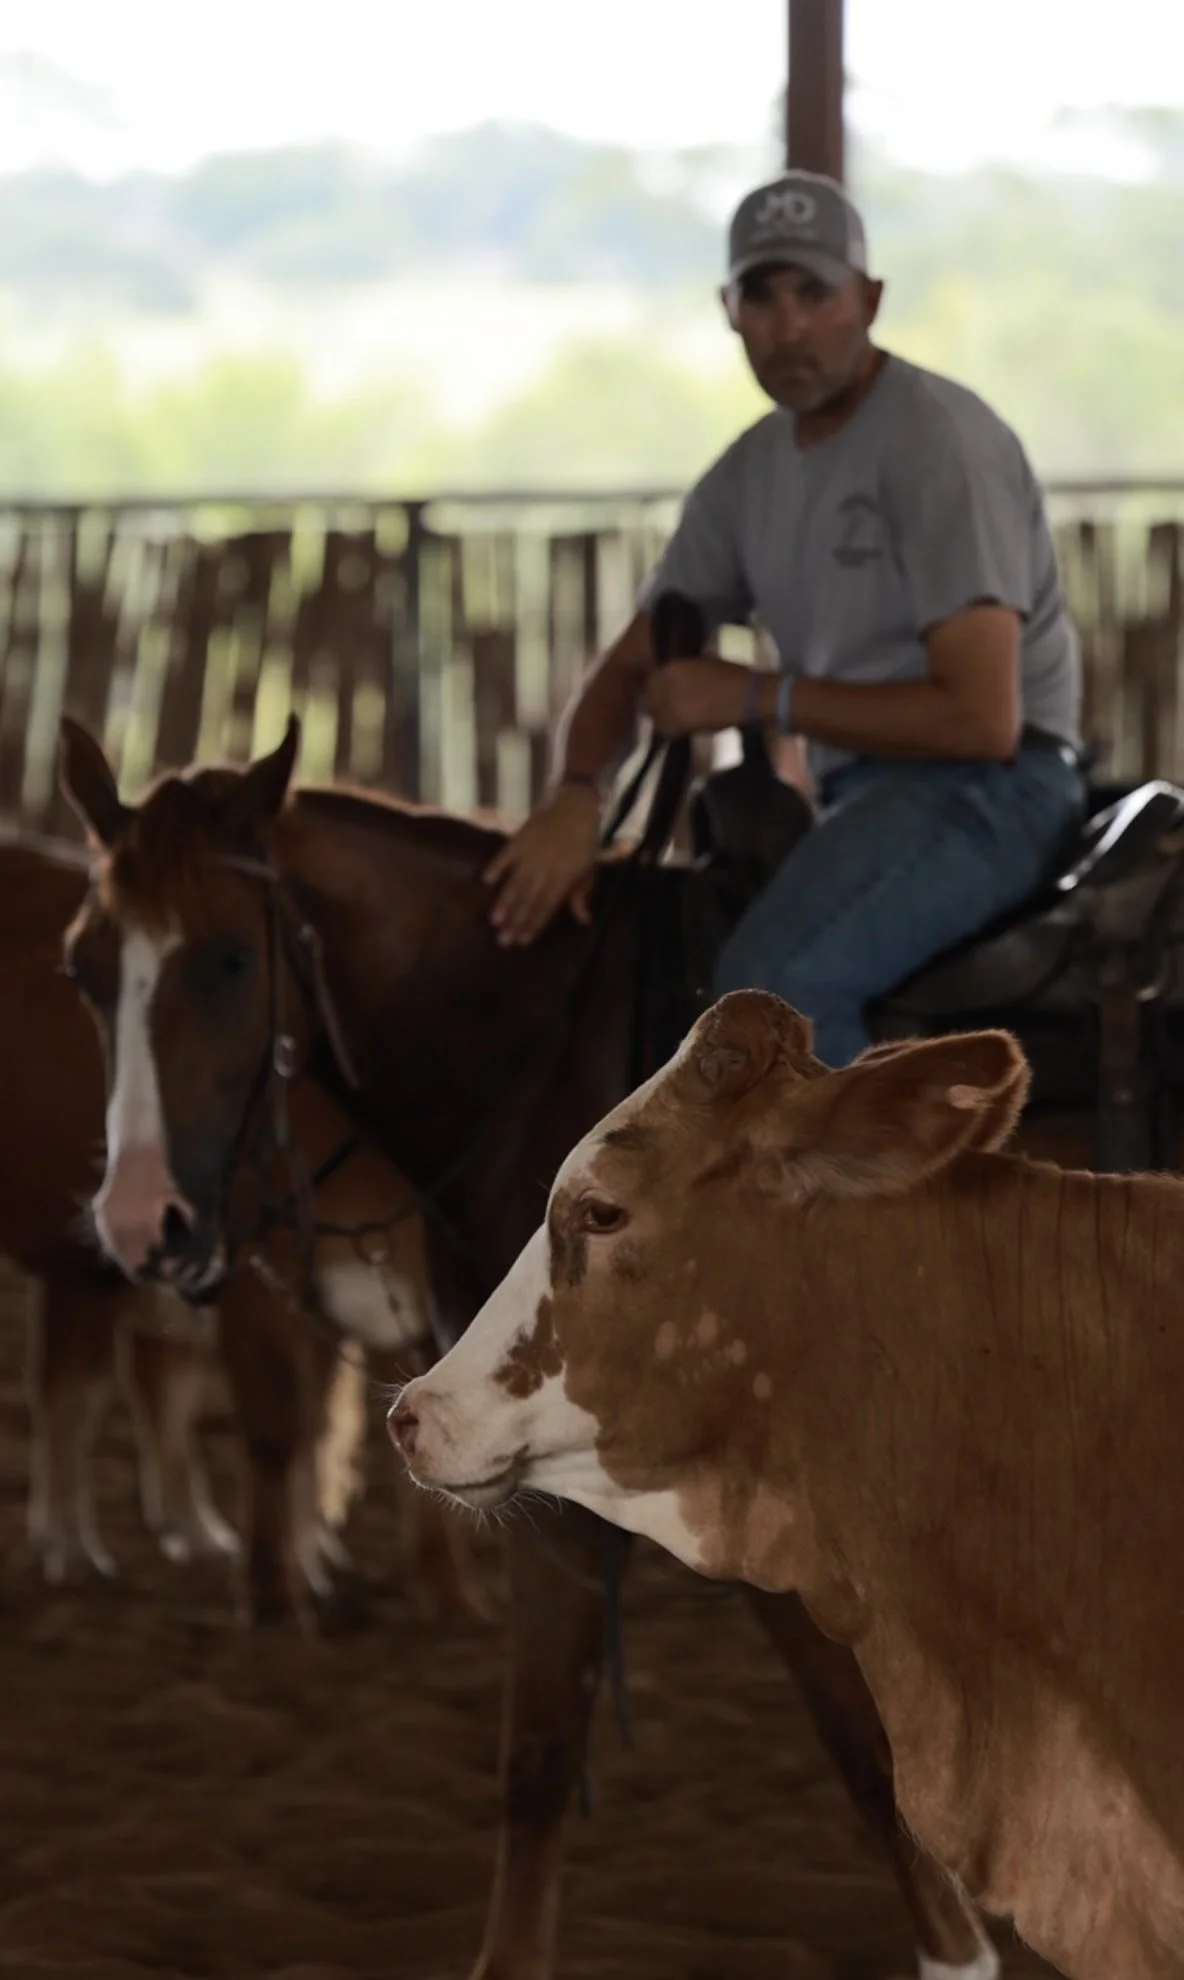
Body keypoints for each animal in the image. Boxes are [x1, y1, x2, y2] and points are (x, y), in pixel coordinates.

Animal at [53, 713, 999, 1980]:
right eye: (86, 966)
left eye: (230, 960)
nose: (137, 1222)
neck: (540, 1061)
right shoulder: (537, 1486)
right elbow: (541, 1754)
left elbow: (863, 1742)